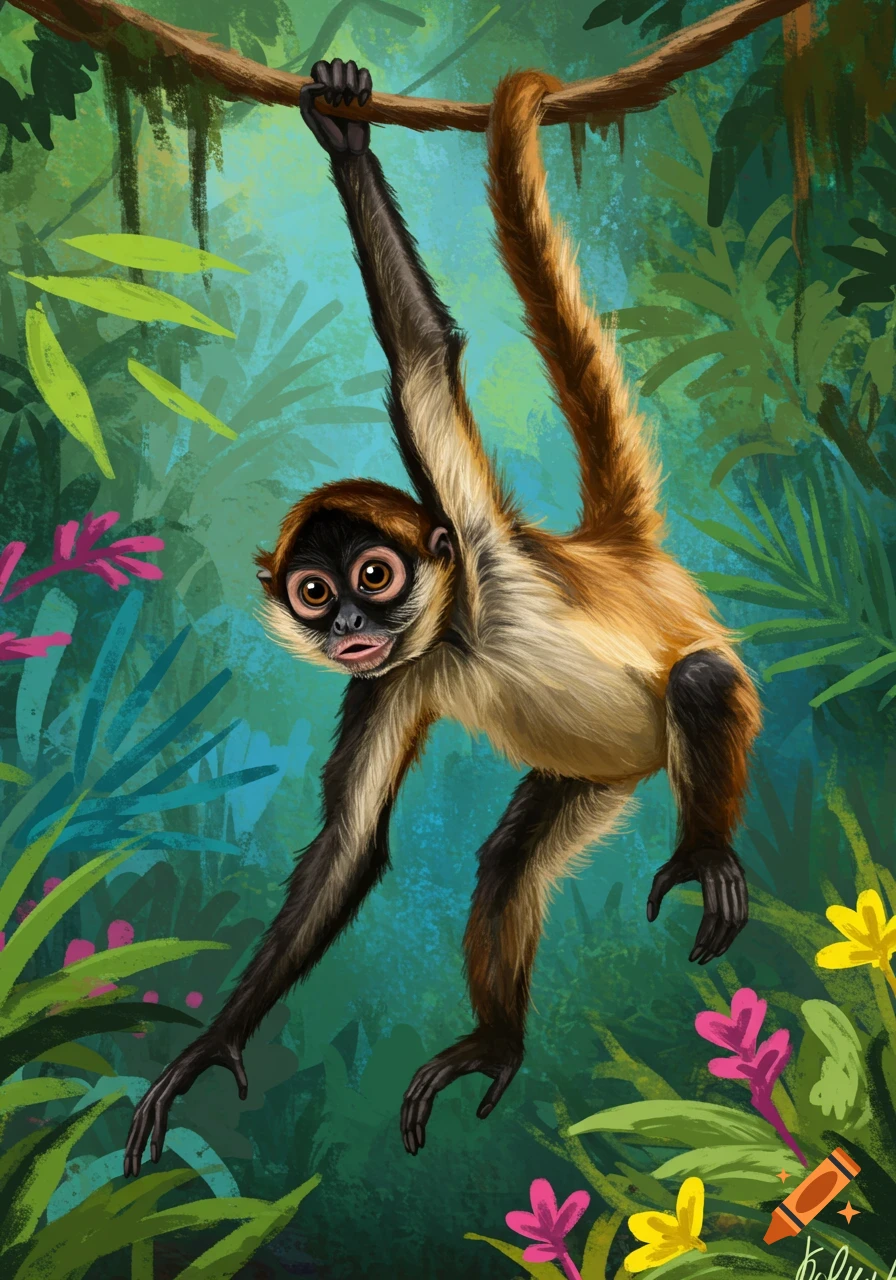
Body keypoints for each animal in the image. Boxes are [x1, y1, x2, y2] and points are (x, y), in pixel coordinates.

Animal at [123, 59, 761, 1174]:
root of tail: (617, 555)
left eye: (374, 573)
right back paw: (497, 1042)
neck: (458, 627)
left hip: (683, 695)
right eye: (315, 592)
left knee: (698, 679)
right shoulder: (389, 681)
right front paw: (213, 1041)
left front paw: (346, 139)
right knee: (508, 860)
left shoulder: (473, 539)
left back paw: (705, 852)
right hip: (602, 774)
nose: (349, 627)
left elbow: (422, 355)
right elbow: (348, 846)